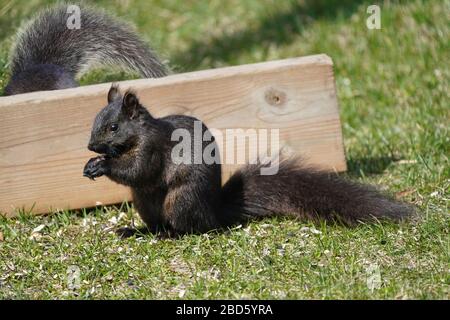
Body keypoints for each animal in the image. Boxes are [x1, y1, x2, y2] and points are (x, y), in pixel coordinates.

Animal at [83, 85, 414, 238]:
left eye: (113, 127)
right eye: (96, 120)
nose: (90, 146)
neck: (137, 134)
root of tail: (214, 212)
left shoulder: (153, 148)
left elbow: (138, 170)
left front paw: (103, 164)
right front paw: (92, 163)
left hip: (181, 199)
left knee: (192, 228)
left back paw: (172, 234)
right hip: (145, 203)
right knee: (156, 224)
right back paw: (137, 231)